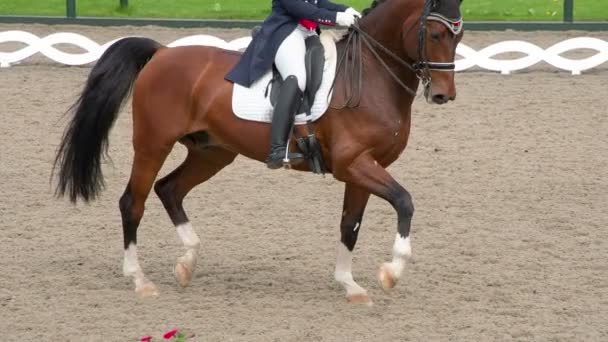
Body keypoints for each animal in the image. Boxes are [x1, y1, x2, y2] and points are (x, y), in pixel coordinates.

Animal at [54, 0, 464, 304]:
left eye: (459, 36)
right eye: (435, 33)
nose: (443, 95)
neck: (371, 74)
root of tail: (162, 53)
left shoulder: (364, 167)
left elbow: (350, 225)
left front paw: (350, 285)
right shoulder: (354, 164)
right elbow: (404, 201)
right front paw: (392, 272)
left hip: (212, 152)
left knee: (169, 189)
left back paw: (187, 261)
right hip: (153, 144)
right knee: (133, 202)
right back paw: (140, 280)